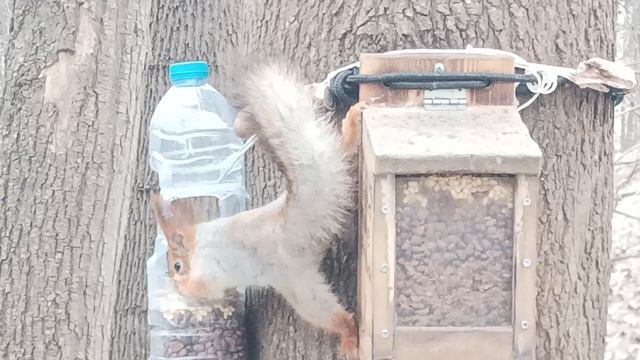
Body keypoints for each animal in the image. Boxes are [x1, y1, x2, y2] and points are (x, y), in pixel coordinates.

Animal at [149, 63, 364, 358]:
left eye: (177, 266)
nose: (174, 283)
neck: (198, 242)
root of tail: (288, 221)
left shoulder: (208, 270)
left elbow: (203, 287)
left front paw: (186, 289)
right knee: (343, 154)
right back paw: (352, 123)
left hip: (299, 287)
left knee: (336, 318)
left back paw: (350, 339)